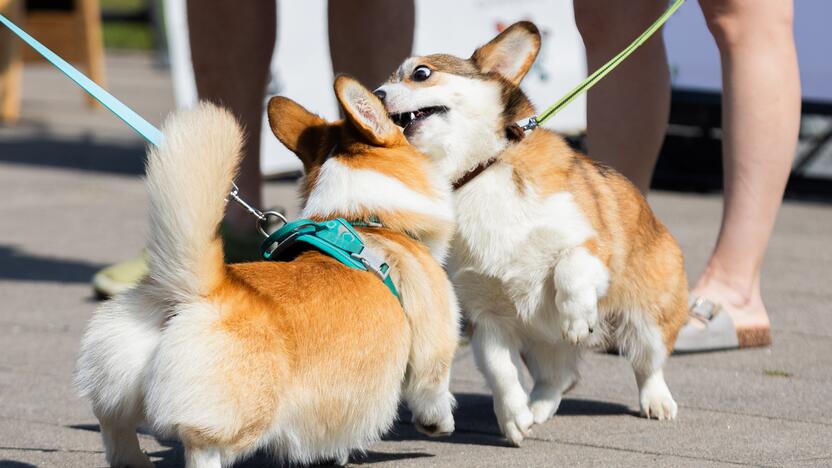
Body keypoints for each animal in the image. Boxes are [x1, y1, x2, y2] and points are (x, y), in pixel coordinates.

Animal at [376, 22, 688, 446]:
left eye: (421, 73)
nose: (376, 95)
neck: (478, 172)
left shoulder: (591, 244)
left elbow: (569, 268)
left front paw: (577, 318)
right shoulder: (485, 317)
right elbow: (500, 371)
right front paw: (513, 417)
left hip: (648, 321)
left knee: (647, 364)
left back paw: (656, 401)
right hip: (540, 346)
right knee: (558, 378)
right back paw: (536, 409)